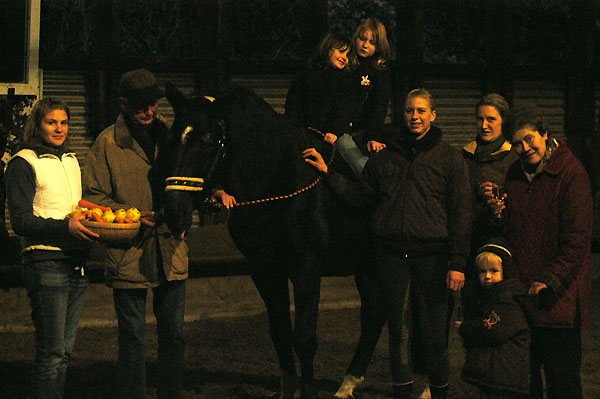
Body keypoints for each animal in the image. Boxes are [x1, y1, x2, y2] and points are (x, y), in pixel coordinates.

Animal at [162, 83, 372, 399]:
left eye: (209, 140)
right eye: (172, 137)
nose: (175, 212)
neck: (278, 177)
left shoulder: (306, 267)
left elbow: (304, 337)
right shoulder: (264, 269)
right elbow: (280, 333)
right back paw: (348, 383)